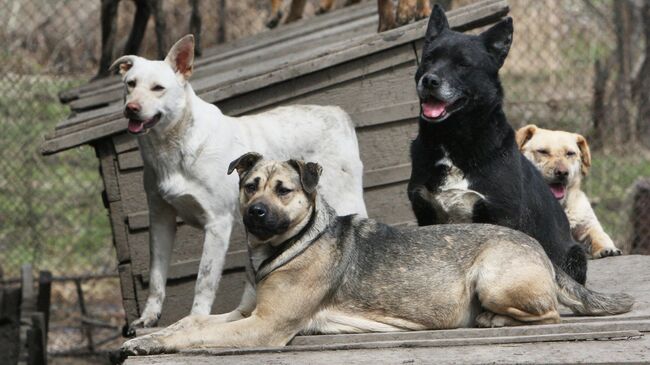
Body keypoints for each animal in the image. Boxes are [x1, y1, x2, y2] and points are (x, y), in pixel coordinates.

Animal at [109, 35, 368, 332]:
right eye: (130, 84)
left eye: (158, 88)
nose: (131, 109)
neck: (174, 147)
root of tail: (337, 112)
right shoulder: (160, 218)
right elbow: (156, 275)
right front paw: (149, 317)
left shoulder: (217, 224)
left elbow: (204, 282)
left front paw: (194, 319)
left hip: (345, 198)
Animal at [119, 154, 632, 356]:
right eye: (250, 186)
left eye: (284, 190)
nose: (255, 213)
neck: (286, 245)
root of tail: (540, 251)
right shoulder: (246, 313)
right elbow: (191, 321)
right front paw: (148, 338)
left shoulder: (263, 326)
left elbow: (197, 334)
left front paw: (157, 344)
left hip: (492, 276)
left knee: (550, 314)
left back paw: (492, 320)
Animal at [404, 7, 588, 282]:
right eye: (428, 59)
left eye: (463, 64)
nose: (429, 80)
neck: (452, 142)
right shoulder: (425, 212)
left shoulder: (500, 216)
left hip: (575, 257)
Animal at [512, 125, 620, 258]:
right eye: (543, 151)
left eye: (570, 153)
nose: (562, 173)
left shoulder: (587, 225)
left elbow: (599, 236)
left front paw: (608, 248)